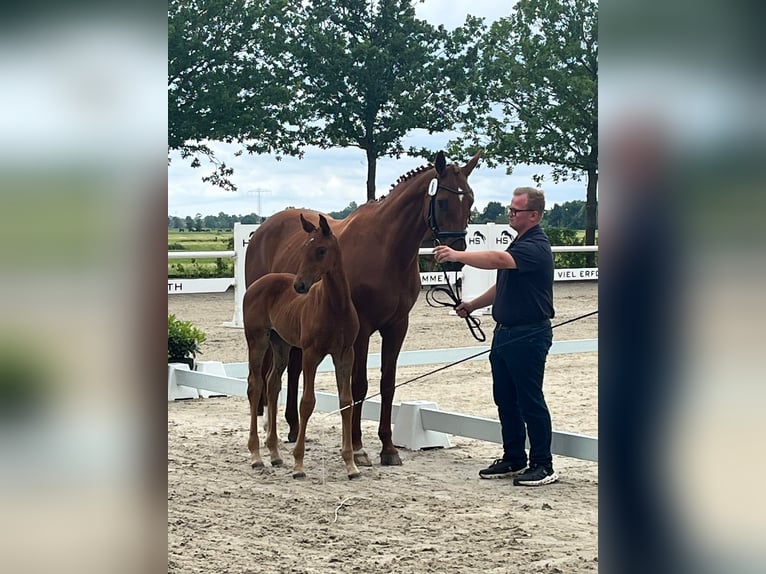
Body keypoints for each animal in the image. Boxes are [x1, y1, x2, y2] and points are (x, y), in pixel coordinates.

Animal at [243, 213, 361, 480]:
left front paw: (351, 465)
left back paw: (275, 454)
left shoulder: (345, 354)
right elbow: (306, 403)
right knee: (255, 386)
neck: (335, 307)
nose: (299, 285)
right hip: (257, 340)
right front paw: (299, 464)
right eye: (303, 248)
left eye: (320, 250)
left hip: (281, 344)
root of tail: (255, 285)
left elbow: (346, 402)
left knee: (272, 383)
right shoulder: (310, 354)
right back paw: (256, 456)